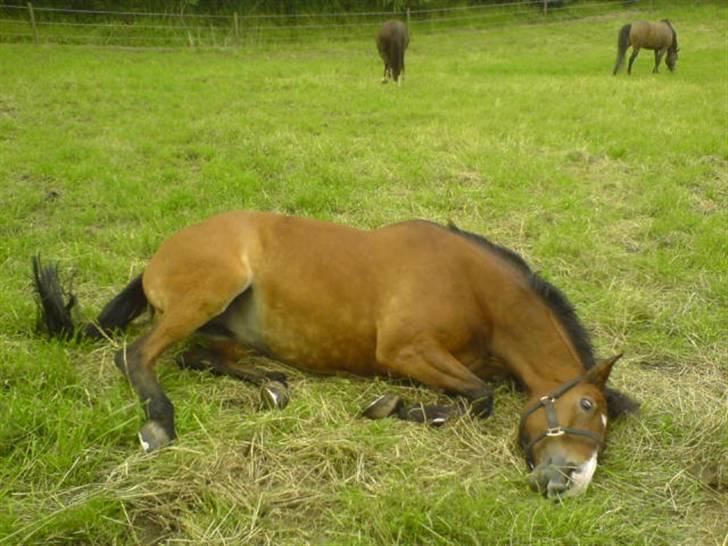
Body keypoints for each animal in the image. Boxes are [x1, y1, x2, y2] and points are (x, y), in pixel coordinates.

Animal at [34, 209, 636, 498]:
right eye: (585, 407)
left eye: (604, 430)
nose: (572, 483)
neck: (474, 289)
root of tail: (156, 259)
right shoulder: (404, 349)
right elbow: (481, 395)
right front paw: (398, 408)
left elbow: (478, 391)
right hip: (209, 291)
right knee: (137, 355)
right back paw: (160, 420)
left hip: (232, 329)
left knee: (196, 358)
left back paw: (272, 385)